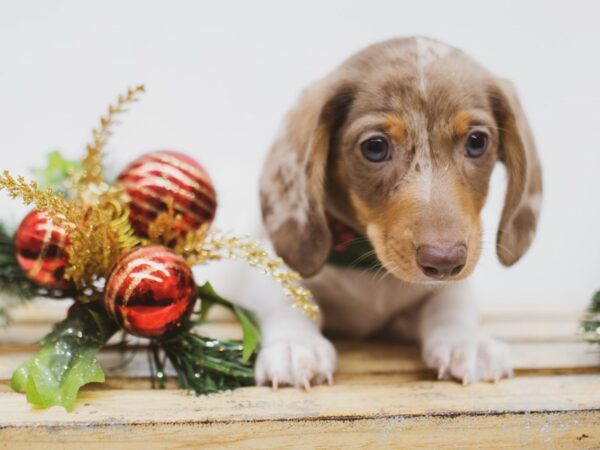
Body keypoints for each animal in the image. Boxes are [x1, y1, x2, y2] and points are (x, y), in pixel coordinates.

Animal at [251, 37, 540, 386]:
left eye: (476, 141)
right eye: (375, 147)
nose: (445, 261)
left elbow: (451, 300)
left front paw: (467, 341)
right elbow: (286, 294)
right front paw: (296, 344)